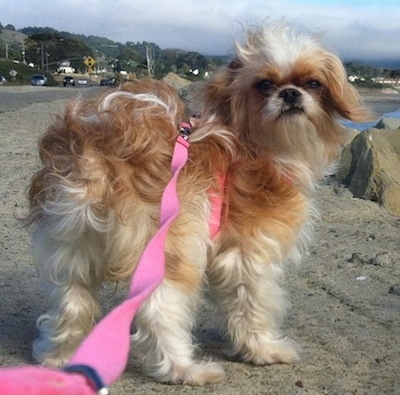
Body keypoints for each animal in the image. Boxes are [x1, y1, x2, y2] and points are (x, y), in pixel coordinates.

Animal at [27, 22, 372, 386]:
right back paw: (186, 370)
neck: (258, 144)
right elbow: (253, 305)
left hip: (70, 250)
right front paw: (262, 350)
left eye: (313, 83)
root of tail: (96, 151)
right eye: (264, 84)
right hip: (171, 252)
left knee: (70, 305)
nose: (290, 93)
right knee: (158, 312)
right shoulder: (248, 256)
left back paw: (59, 359)